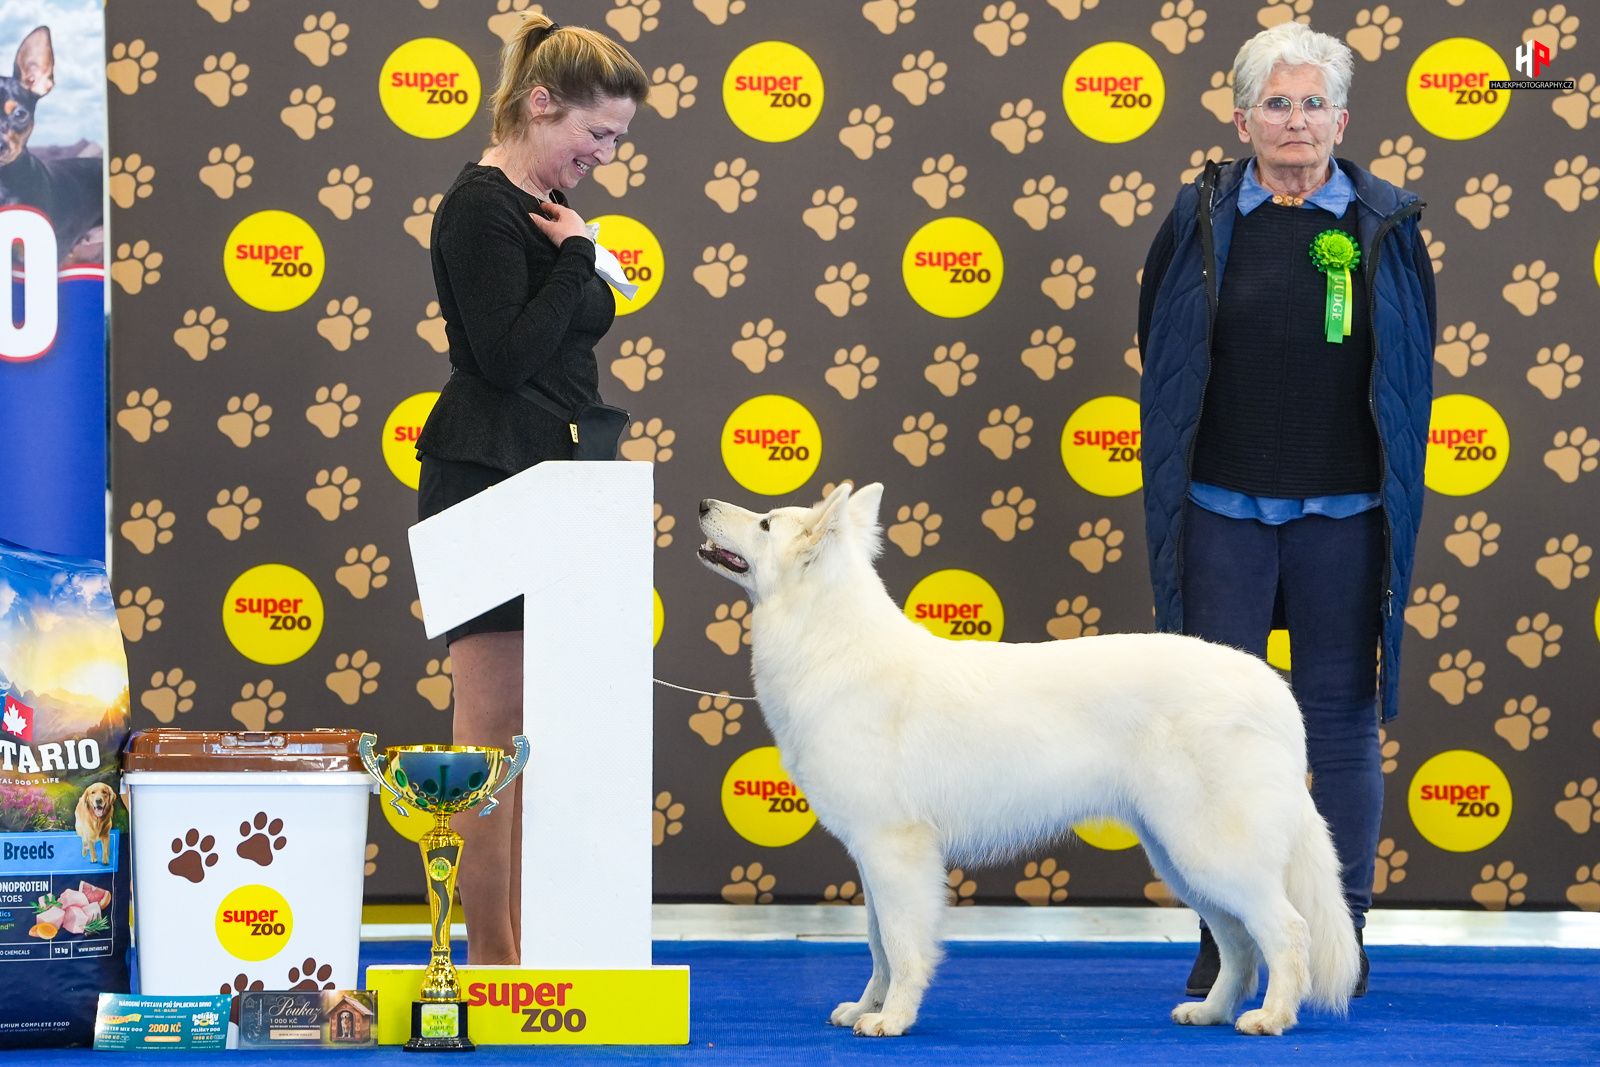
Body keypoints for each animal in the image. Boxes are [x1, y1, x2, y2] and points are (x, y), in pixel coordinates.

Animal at [697, 482, 1359, 1037]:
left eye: (764, 522)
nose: (702, 504)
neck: (829, 643)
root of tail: (1274, 689)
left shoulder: (896, 850)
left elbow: (904, 946)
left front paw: (893, 1019)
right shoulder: (872, 856)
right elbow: (878, 945)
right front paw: (868, 1007)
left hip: (1211, 852)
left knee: (1286, 930)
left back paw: (1271, 1019)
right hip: (1180, 859)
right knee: (1239, 943)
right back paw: (1212, 1012)